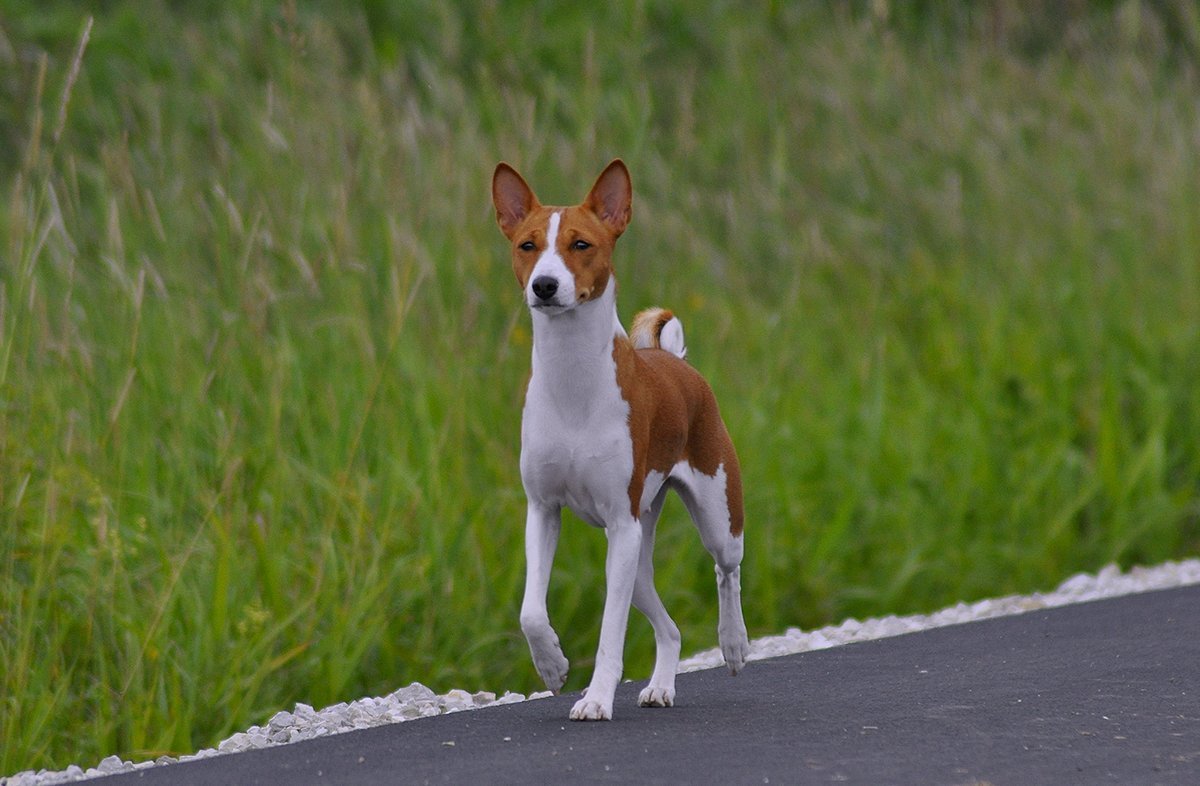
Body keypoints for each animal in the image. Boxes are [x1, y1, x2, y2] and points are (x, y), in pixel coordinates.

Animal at [492, 158, 744, 720]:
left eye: (581, 244)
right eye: (527, 245)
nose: (544, 285)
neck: (573, 383)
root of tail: (674, 360)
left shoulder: (619, 526)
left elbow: (610, 632)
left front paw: (596, 698)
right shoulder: (543, 511)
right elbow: (530, 612)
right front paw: (552, 666)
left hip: (713, 520)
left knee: (726, 573)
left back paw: (734, 643)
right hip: (638, 554)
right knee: (670, 629)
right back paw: (662, 686)